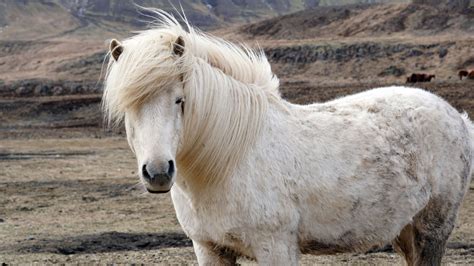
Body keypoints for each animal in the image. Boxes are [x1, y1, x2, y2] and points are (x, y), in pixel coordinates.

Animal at [103, 9, 474, 264]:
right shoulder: (209, 248)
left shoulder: (275, 247)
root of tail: (457, 116)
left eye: (180, 100)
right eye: (127, 108)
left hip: (432, 231)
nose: (158, 172)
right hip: (406, 230)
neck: (227, 162)